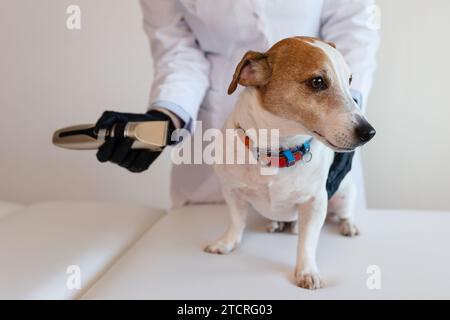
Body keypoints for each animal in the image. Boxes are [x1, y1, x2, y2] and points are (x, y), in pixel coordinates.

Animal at [204, 36, 376, 288]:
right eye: (317, 81)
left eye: (350, 80)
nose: (370, 132)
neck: (278, 152)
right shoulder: (231, 191)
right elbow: (236, 221)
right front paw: (227, 242)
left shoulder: (315, 203)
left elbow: (307, 242)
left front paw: (306, 271)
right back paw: (277, 224)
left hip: (344, 194)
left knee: (344, 213)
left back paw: (346, 226)